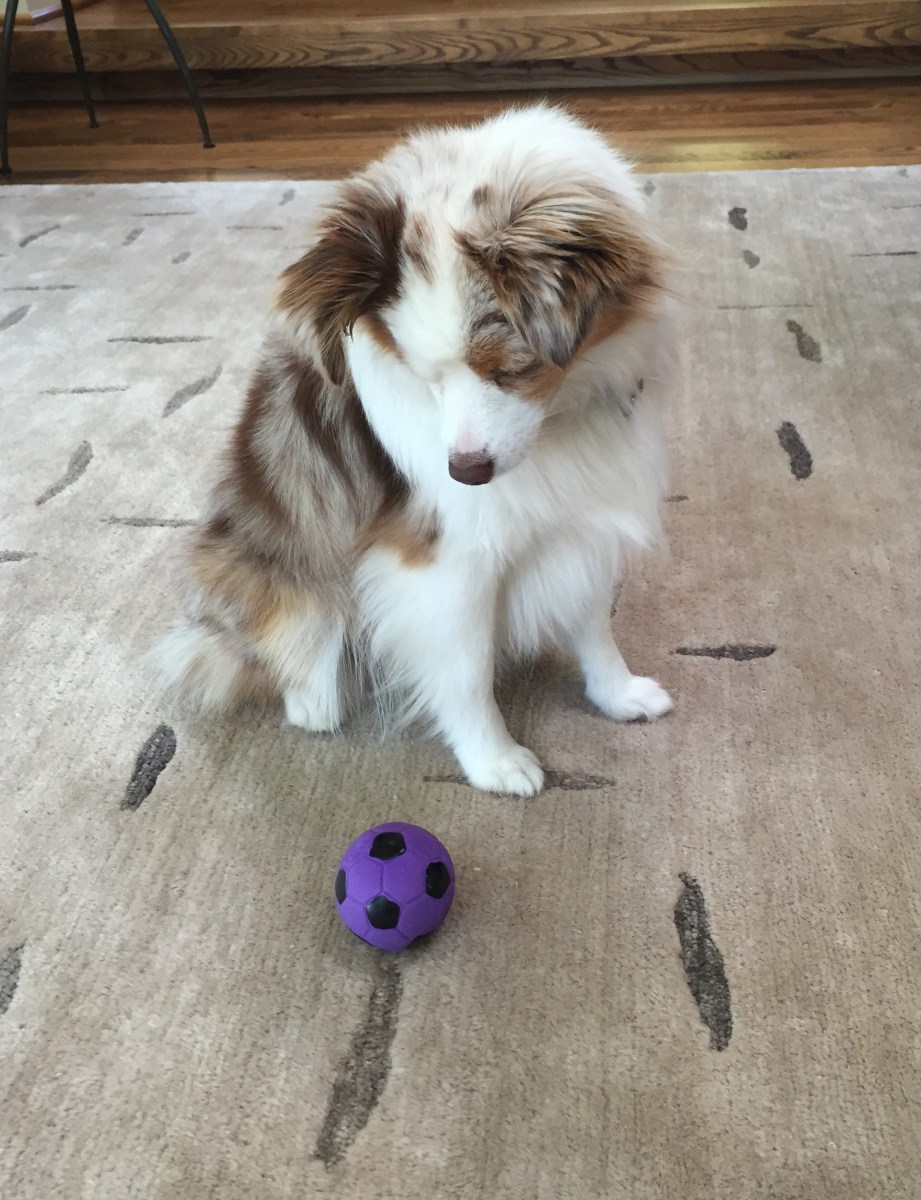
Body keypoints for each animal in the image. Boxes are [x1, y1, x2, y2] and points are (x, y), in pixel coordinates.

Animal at [155, 105, 676, 797]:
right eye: (426, 377)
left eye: (511, 370)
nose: (466, 474)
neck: (562, 416)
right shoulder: (442, 560)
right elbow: (466, 671)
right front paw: (494, 760)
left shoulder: (580, 523)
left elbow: (593, 624)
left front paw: (618, 694)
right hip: (255, 566)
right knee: (269, 644)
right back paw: (312, 699)